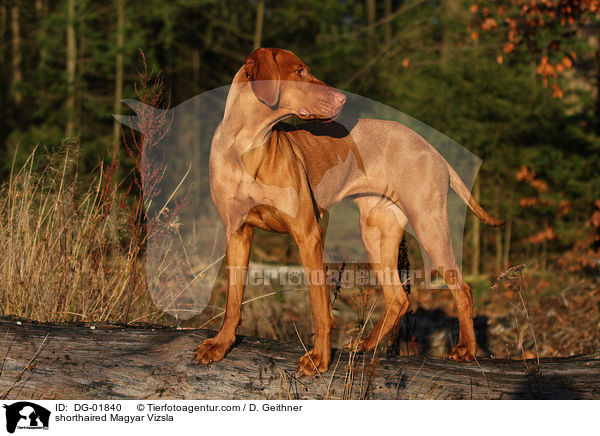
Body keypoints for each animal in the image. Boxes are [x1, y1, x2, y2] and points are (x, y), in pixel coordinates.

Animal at [195, 46, 504, 374]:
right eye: (299, 71)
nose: (343, 98)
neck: (248, 146)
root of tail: (433, 150)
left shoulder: (308, 234)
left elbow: (319, 306)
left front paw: (319, 358)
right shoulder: (237, 234)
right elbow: (232, 300)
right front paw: (221, 344)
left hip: (429, 225)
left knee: (462, 289)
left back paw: (467, 350)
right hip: (376, 234)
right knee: (398, 299)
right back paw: (366, 344)